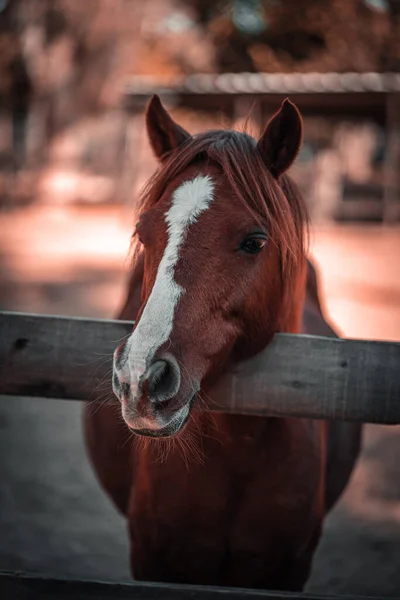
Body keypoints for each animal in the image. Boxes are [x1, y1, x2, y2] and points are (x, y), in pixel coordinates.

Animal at [85, 95, 362, 592]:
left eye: (254, 242)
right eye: (141, 233)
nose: (140, 380)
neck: (239, 449)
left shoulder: (289, 569)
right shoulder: (152, 558)